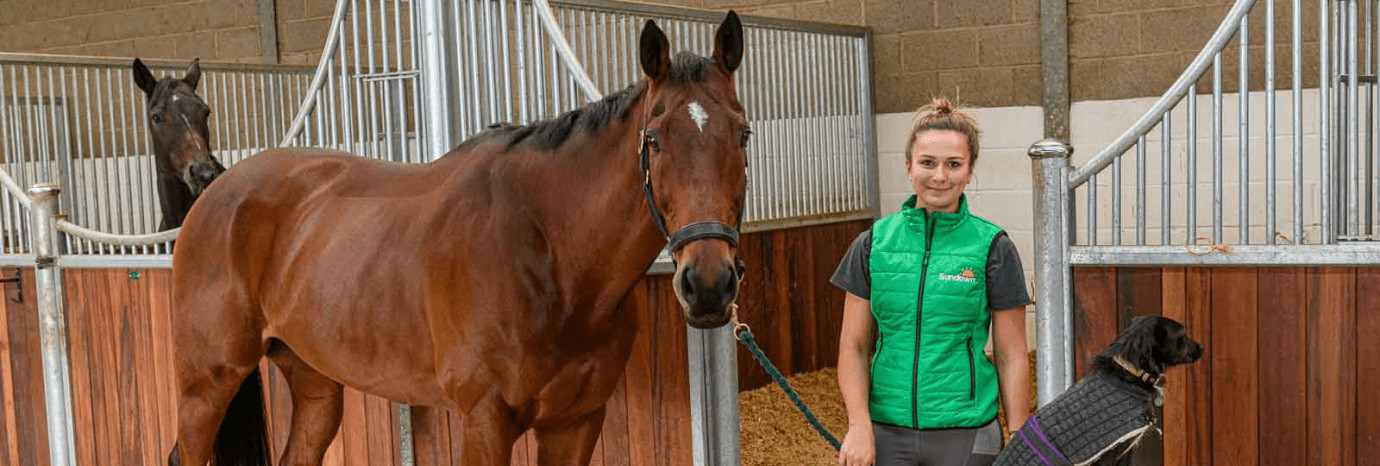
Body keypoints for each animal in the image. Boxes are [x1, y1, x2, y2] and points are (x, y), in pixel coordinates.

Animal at [166, 11, 750, 466]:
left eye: (742, 134)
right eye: (653, 139)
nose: (709, 285)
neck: (549, 255)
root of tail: (215, 192)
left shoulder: (576, 422)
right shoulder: (485, 421)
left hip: (314, 384)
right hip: (207, 384)